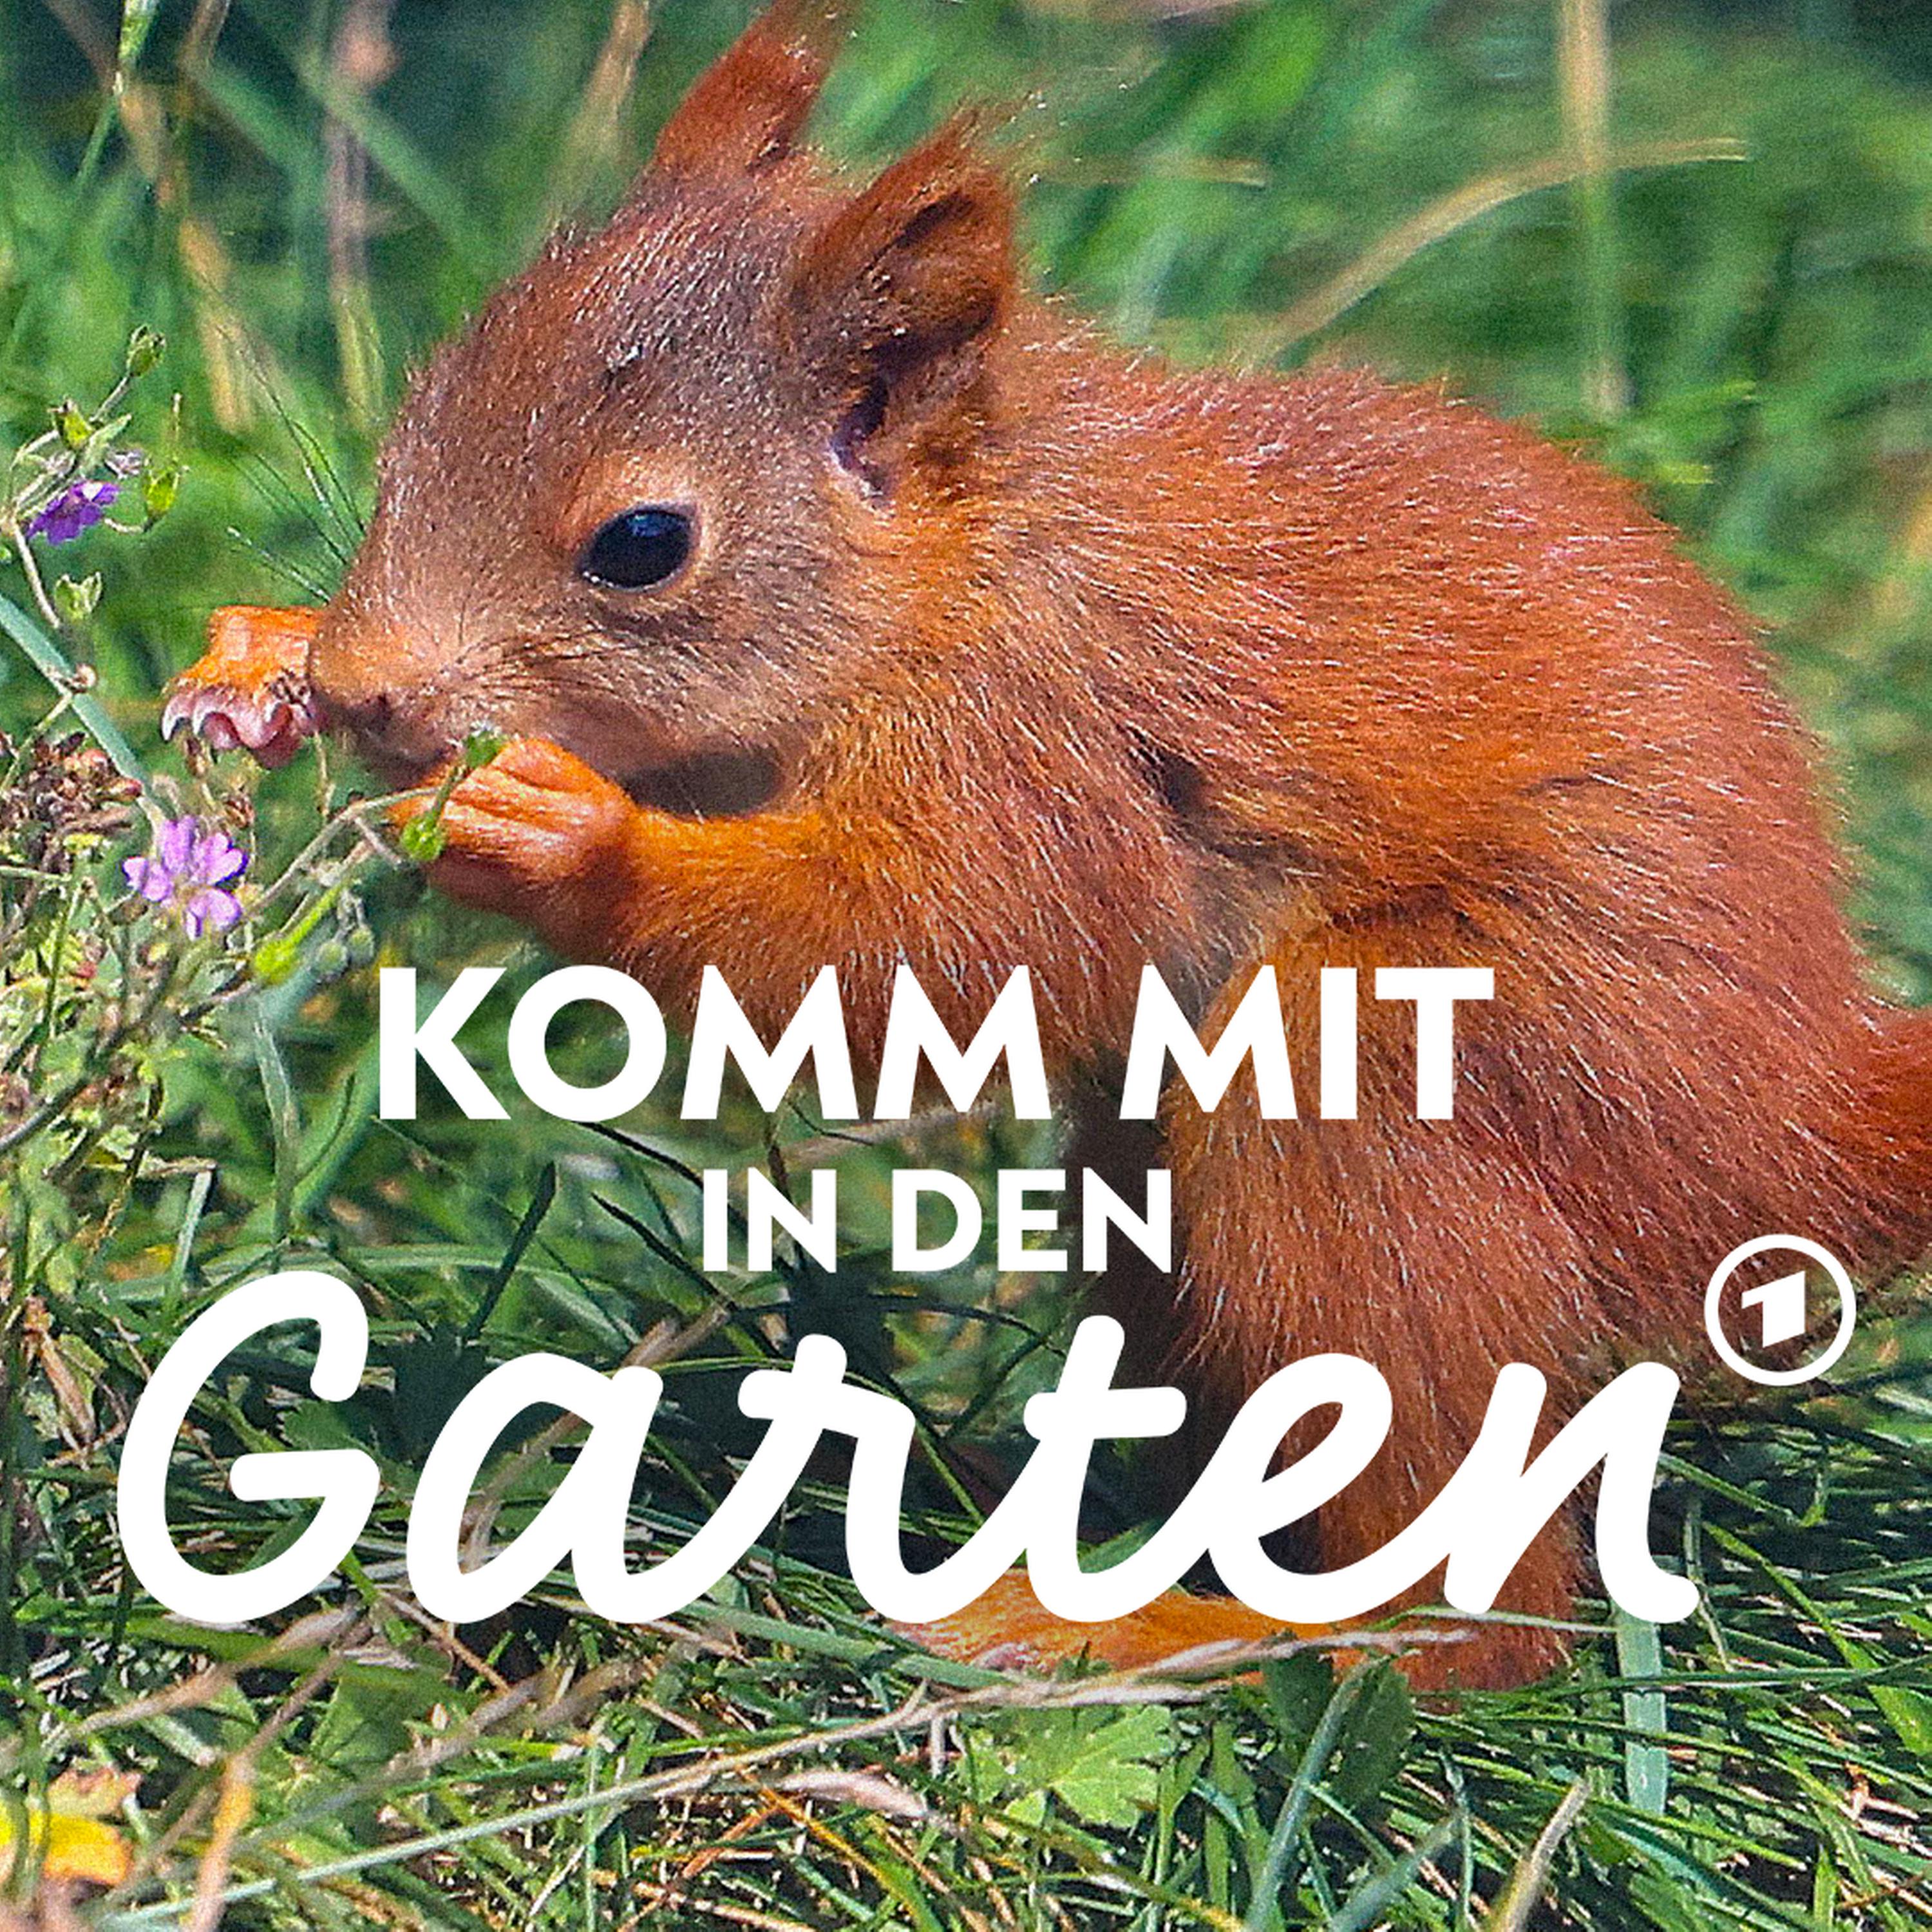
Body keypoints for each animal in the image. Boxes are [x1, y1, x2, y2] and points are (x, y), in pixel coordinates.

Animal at [162, 2, 1932, 1687]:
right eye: (422, 401)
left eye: (643, 544)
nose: (373, 688)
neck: (961, 564)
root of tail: (1791, 1131)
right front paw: (263, 658)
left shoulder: (1041, 741)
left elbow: (941, 945)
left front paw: (568, 836)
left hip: (1396, 1072)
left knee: (1470, 1616)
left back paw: (1179, 1633)